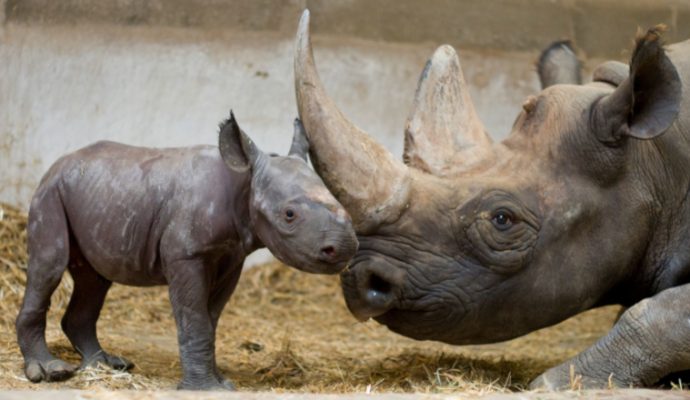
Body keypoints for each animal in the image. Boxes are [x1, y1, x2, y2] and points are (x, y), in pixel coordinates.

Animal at [15, 112, 354, 390]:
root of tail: (58, 164)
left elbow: (210, 318)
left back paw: (106, 366)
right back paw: (50, 372)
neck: (245, 183)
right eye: (289, 215)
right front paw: (207, 389)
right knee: (50, 265)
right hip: (50, 193)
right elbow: (194, 316)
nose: (344, 247)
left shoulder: (231, 257)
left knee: (94, 280)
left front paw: (220, 382)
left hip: (90, 193)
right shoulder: (186, 254)